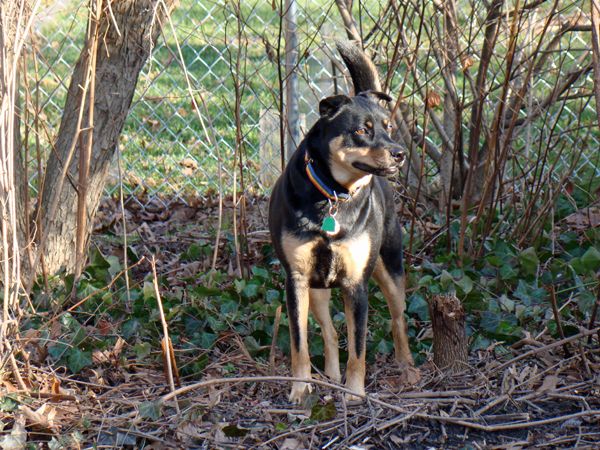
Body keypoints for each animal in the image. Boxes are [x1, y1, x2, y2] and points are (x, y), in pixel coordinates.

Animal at [270, 41, 414, 400]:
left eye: (388, 127)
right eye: (362, 130)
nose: (400, 153)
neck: (333, 196)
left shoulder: (355, 284)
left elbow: (358, 346)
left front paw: (355, 392)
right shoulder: (296, 280)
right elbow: (300, 343)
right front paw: (300, 389)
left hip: (390, 269)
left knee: (398, 318)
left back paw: (407, 367)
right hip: (318, 288)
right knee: (330, 332)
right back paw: (331, 376)